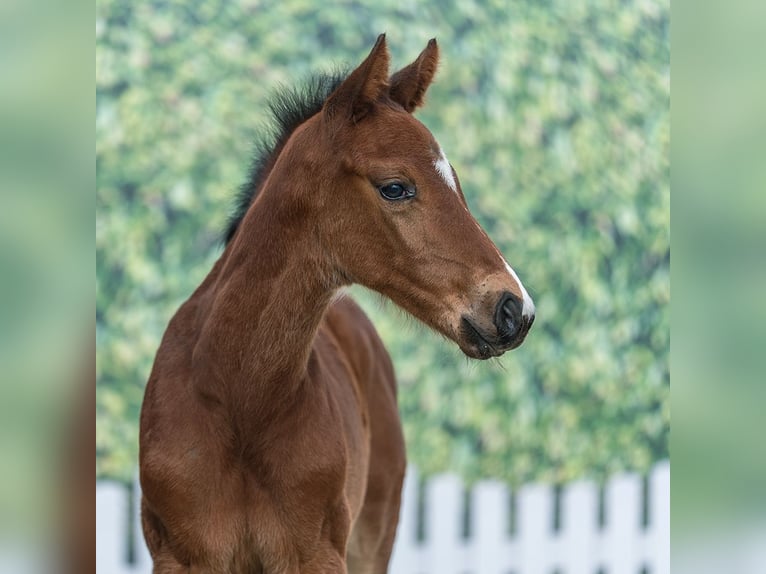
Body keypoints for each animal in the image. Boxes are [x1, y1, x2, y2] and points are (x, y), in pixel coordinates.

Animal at [139, 34, 535, 573]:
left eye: (455, 180)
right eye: (395, 187)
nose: (514, 310)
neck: (239, 400)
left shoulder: (320, 555)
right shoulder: (182, 558)